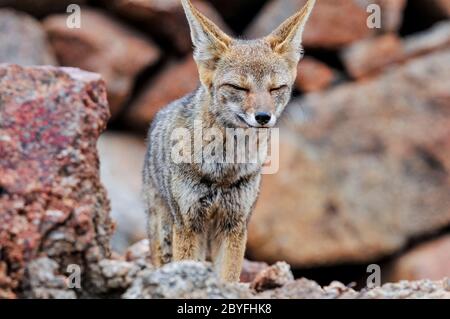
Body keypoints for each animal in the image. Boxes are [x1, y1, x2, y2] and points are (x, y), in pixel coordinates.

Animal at [142, 0, 314, 282]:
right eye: (239, 88)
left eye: (276, 88)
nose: (263, 117)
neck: (223, 168)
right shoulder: (188, 225)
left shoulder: (235, 225)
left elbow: (229, 276)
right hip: (167, 232)